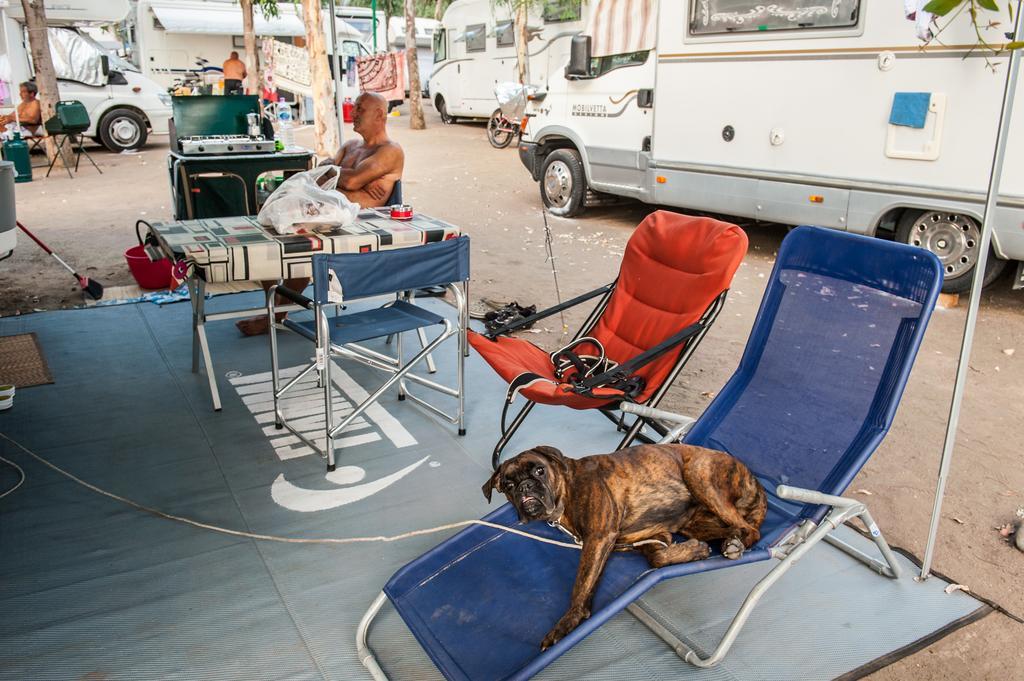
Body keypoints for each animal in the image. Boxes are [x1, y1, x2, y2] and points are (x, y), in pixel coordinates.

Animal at [483, 444, 765, 651]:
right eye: (508, 485)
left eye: (539, 471)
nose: (525, 486)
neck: (567, 491)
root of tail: (756, 482)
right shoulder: (646, 538)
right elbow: (656, 558)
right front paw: (694, 551)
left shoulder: (599, 538)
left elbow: (580, 586)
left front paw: (567, 622)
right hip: (693, 523)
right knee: (732, 529)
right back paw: (728, 541)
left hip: (698, 474)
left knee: (750, 530)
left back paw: (734, 545)